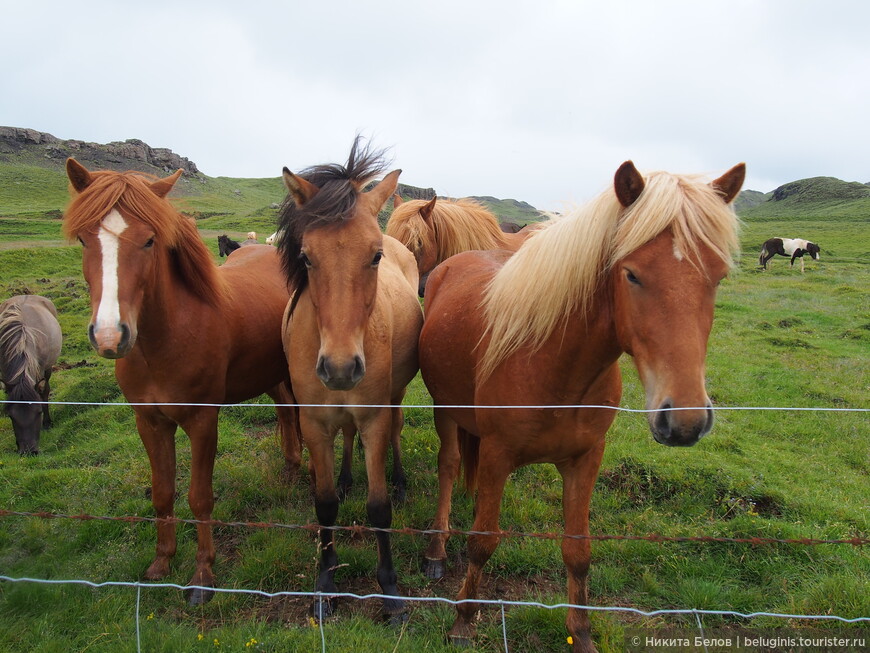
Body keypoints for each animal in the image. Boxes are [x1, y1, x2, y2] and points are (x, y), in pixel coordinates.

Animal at [63, 158, 302, 608]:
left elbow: (199, 496)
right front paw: (162, 562)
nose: (109, 336)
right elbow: (162, 492)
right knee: (285, 410)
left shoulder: (203, 421)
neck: (165, 341)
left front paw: (202, 574)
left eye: (149, 241)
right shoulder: (150, 422)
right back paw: (291, 466)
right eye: (85, 240)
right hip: (270, 373)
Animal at [278, 139, 424, 620]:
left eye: (374, 255)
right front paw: (326, 582)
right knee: (346, 437)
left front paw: (390, 590)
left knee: (396, 431)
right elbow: (323, 504)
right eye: (306, 256)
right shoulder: (313, 423)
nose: (341, 367)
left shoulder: (374, 417)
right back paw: (345, 478)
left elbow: (378, 509)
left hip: (394, 398)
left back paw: (400, 481)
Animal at [418, 160, 744, 648]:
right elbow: (483, 540)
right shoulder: (497, 455)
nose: (685, 421)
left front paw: (582, 632)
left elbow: (578, 549)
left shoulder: (586, 458)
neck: (555, 367)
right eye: (631, 274)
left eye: (719, 276)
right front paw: (463, 620)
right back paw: (436, 549)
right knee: (449, 465)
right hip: (446, 411)